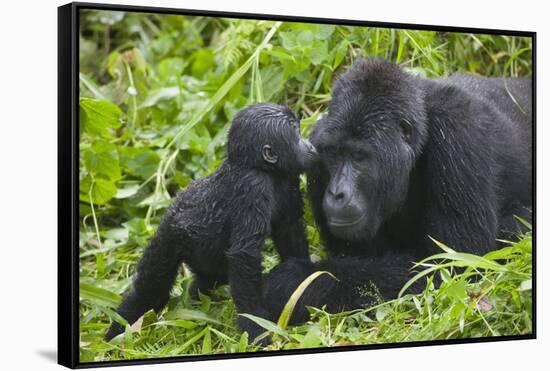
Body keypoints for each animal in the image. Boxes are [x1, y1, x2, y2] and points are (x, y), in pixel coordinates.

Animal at [105, 103, 320, 344]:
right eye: (297, 134)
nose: (309, 145)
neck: (258, 166)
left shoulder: (288, 177)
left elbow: (289, 229)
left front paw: (303, 280)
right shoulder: (252, 187)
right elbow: (244, 255)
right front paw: (255, 326)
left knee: (210, 277)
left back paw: (195, 298)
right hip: (167, 239)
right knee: (150, 291)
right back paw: (117, 333)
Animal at [266, 57, 532, 322]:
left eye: (359, 156)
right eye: (334, 154)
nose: (337, 193)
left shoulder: (460, 132)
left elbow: (452, 265)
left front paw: (294, 281)